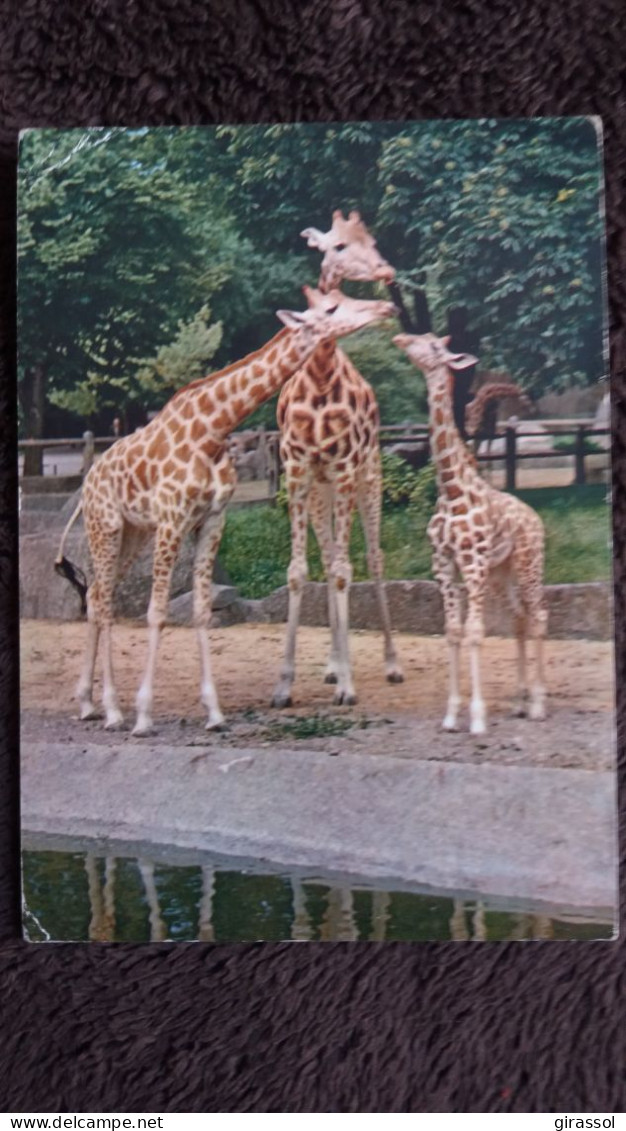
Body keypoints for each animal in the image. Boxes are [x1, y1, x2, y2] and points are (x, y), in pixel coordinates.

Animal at [54, 287, 396, 737]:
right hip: (106, 526)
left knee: (96, 596)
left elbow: (200, 610)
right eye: (332, 307)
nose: (386, 307)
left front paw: (214, 713)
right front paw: (144, 716)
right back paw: (113, 711)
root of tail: (86, 485)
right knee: (104, 601)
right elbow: (156, 613)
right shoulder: (172, 519)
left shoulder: (211, 520)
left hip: (132, 533)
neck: (215, 429)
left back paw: (88, 704)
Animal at [270, 211, 402, 705]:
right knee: (328, 558)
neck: (321, 375)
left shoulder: (346, 470)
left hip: (368, 476)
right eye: (339, 246)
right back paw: (330, 663)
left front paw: (348, 684)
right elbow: (299, 570)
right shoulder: (297, 474)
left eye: (373, 240)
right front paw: (285, 684)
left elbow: (348, 569)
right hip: (321, 491)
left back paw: (389, 664)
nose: (387, 272)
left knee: (373, 557)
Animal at [396, 330, 547, 732]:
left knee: (539, 616)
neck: (450, 490)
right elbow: (453, 632)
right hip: (501, 573)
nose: (401, 337)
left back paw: (539, 704)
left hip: (528, 563)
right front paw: (451, 716)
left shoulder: (473, 564)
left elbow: (475, 632)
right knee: (518, 617)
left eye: (434, 345)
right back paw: (521, 702)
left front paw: (477, 719)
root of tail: (536, 518)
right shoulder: (444, 565)